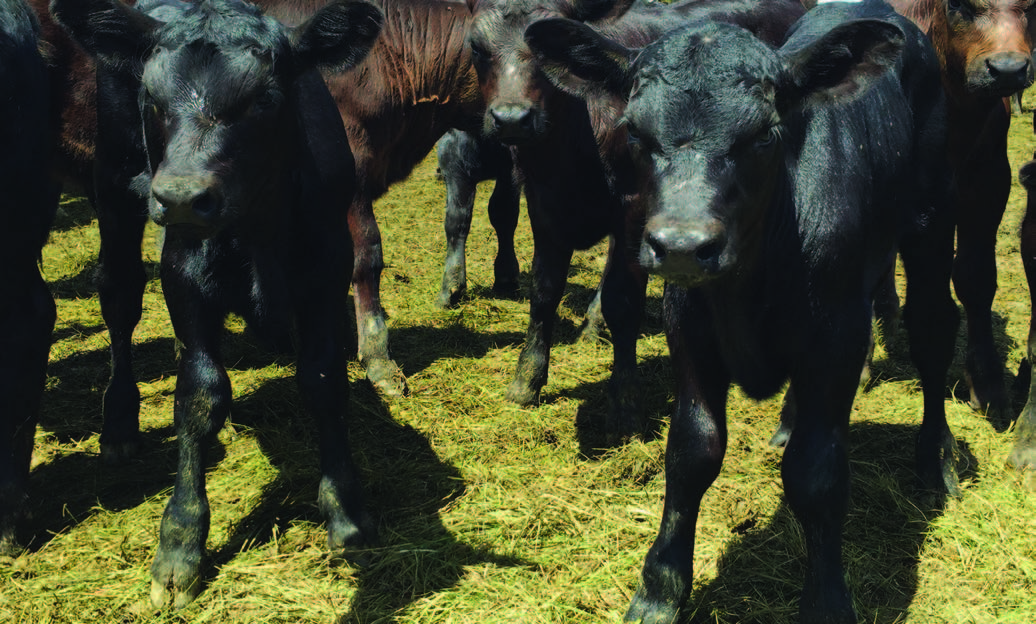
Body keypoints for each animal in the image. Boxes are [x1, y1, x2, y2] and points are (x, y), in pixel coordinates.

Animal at [50, 0, 383, 608]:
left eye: (263, 99)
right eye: (152, 99)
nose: (181, 196)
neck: (258, 229)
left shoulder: (325, 269)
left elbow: (324, 380)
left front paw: (346, 512)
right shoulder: (185, 274)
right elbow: (200, 394)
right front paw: (180, 544)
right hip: (114, 190)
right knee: (120, 299)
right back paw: (119, 424)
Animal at [465, 0, 805, 442]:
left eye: (540, 51)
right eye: (476, 47)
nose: (511, 118)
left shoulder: (634, 208)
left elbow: (623, 301)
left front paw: (625, 405)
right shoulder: (543, 205)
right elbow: (544, 291)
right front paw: (526, 380)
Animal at [524, 0, 960, 620]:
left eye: (763, 133)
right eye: (635, 130)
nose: (682, 245)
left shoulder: (838, 335)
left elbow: (816, 472)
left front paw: (827, 599)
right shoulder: (689, 330)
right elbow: (692, 450)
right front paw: (660, 588)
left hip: (932, 220)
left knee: (932, 333)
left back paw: (937, 458)